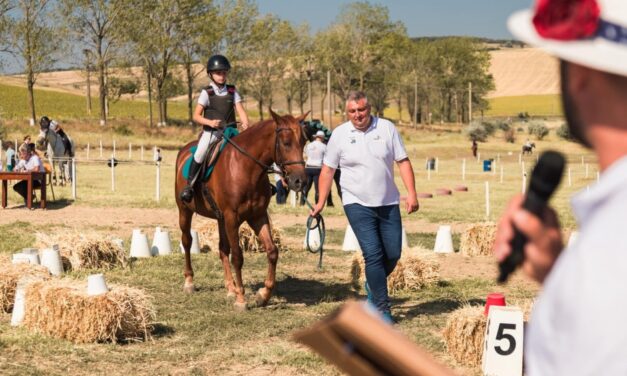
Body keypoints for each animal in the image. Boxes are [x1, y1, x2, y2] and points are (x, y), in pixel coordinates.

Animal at [174, 108, 310, 308]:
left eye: (303, 142)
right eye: (286, 143)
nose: (300, 181)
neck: (247, 168)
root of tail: (184, 151)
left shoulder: (257, 216)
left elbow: (272, 251)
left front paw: (263, 294)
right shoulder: (232, 218)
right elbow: (238, 256)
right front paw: (241, 299)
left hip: (220, 218)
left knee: (223, 249)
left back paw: (230, 288)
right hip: (185, 211)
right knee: (187, 241)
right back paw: (190, 282)